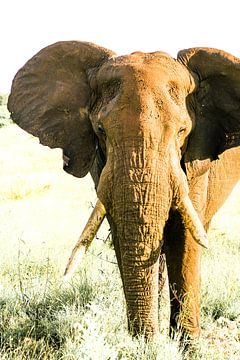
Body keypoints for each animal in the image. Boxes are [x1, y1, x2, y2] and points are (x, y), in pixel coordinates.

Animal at [7, 40, 240, 342]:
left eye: (182, 131)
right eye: (100, 130)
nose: (144, 342)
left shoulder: (195, 161)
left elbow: (185, 240)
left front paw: (186, 346)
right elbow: (121, 231)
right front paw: (147, 343)